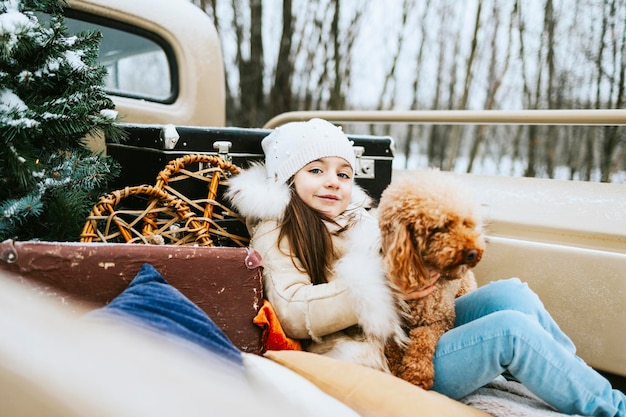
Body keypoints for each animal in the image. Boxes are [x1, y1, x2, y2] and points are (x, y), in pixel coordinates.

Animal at [376, 169, 482, 390]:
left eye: (465, 223)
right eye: (441, 228)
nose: (473, 252)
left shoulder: (441, 319)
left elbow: (424, 338)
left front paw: (417, 373)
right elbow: (392, 345)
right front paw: (395, 368)